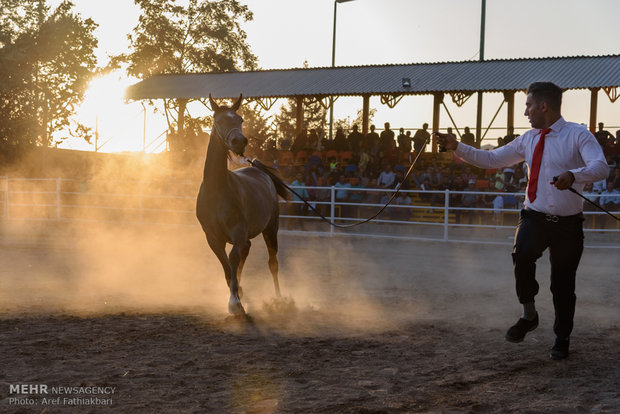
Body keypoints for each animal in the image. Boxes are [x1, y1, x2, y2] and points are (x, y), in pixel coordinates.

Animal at [196, 94, 288, 314]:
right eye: (219, 120)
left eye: (240, 119)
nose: (240, 141)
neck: (216, 191)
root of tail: (259, 170)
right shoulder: (212, 238)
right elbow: (227, 267)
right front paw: (238, 296)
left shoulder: (238, 232)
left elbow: (232, 260)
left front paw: (235, 303)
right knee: (243, 257)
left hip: (271, 229)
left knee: (272, 263)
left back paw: (279, 299)